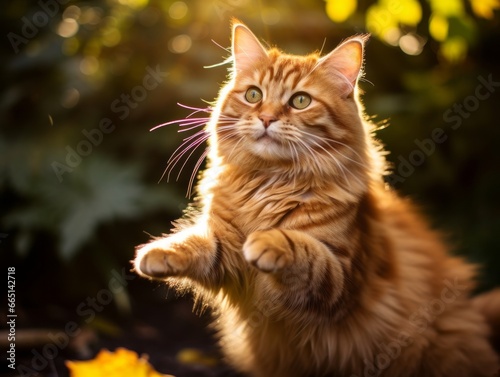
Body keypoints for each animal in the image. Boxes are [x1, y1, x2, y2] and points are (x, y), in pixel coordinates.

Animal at [134, 22, 500, 374]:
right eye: (253, 95)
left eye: (300, 101)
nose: (266, 118)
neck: (271, 182)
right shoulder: (227, 252)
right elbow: (196, 243)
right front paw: (158, 253)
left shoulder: (342, 279)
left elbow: (303, 248)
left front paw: (267, 240)